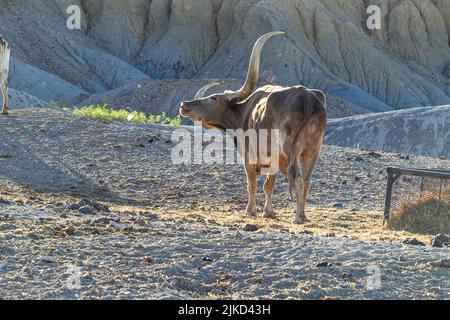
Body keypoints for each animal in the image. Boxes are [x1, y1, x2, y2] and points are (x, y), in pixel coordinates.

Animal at [179, 31, 326, 224]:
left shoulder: (249, 157)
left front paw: (250, 210)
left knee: (298, 179)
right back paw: (303, 215)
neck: (244, 111)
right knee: (307, 181)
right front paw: (268, 211)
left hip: (292, 150)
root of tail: (307, 97)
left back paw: (298, 217)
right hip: (312, 151)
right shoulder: (274, 159)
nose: (184, 104)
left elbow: (252, 184)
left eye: (213, 98)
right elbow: (268, 185)